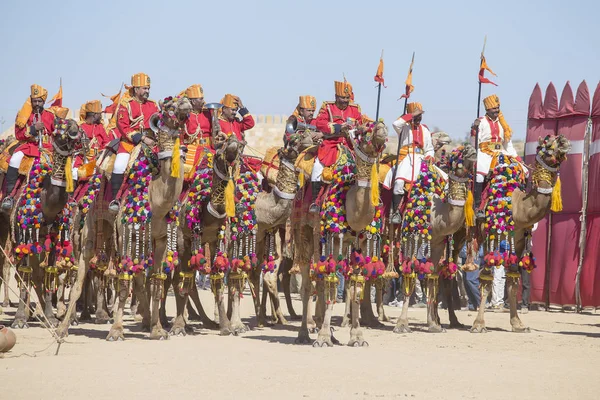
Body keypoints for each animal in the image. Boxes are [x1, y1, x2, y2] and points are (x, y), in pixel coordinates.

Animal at [294, 123, 390, 348]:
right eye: (364, 130)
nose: (381, 129)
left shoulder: (360, 242)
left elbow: (355, 286)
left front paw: (357, 337)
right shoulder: (331, 237)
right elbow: (332, 283)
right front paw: (321, 338)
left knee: (319, 280)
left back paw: (329, 331)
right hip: (304, 233)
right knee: (307, 282)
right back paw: (304, 334)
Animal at [472, 134, 568, 334]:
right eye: (548, 145)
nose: (564, 140)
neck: (516, 206)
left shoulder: (518, 239)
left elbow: (513, 281)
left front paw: (517, 324)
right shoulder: (489, 237)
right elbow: (486, 280)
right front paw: (478, 324)